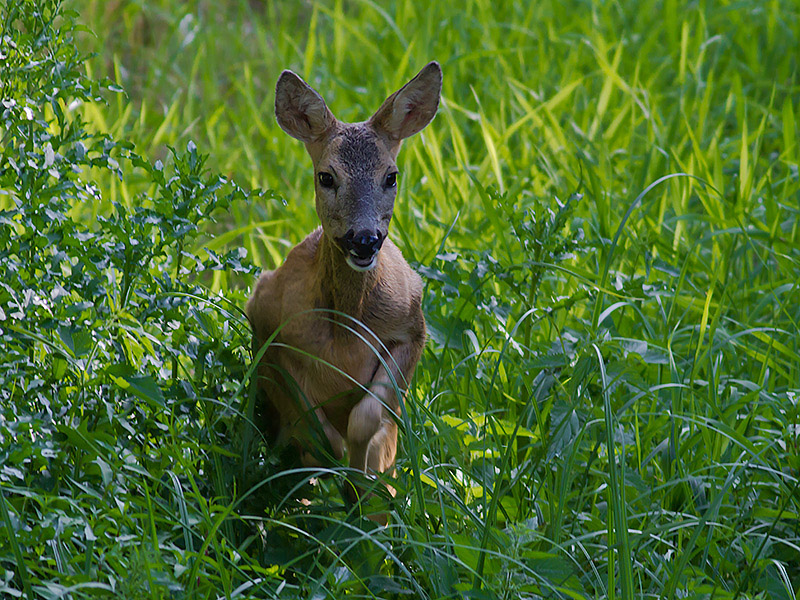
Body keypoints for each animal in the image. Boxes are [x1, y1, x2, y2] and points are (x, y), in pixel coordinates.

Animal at [245, 63, 444, 516]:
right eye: (326, 176)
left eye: (391, 176)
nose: (365, 239)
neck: (347, 326)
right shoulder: (269, 329)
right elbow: (318, 433)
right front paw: (345, 478)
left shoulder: (412, 327)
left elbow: (366, 417)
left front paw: (361, 485)